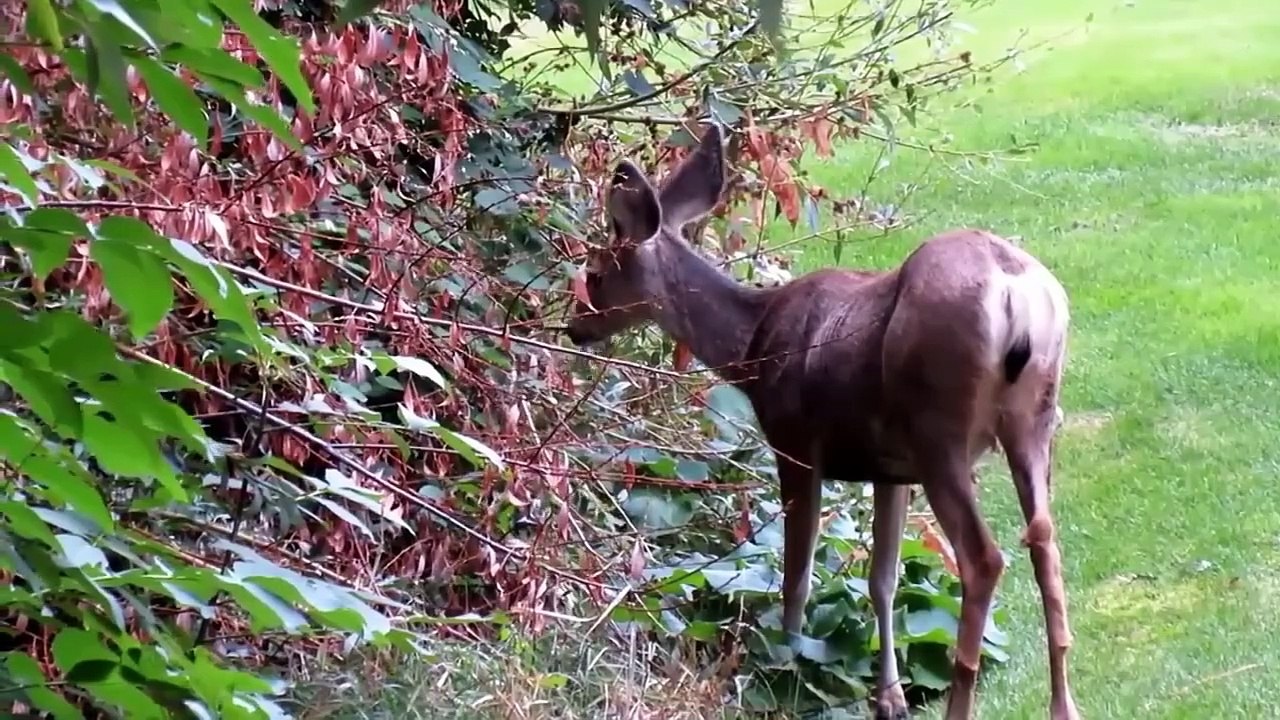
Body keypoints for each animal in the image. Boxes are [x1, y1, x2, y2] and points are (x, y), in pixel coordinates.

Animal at [562, 122, 1080, 720]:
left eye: (596, 273)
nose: (573, 326)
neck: (752, 348)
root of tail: (1016, 291)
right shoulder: (890, 470)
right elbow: (882, 579)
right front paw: (889, 697)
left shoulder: (795, 445)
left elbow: (798, 577)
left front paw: (786, 667)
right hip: (1033, 422)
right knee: (1046, 545)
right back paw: (1065, 706)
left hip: (940, 431)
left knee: (985, 558)